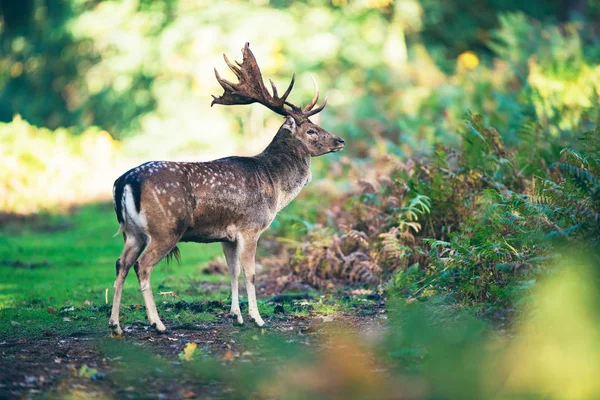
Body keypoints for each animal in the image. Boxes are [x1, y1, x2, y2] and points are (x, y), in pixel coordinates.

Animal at [105, 43, 344, 336]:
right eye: (311, 131)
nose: (340, 141)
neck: (274, 185)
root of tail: (125, 181)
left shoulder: (227, 236)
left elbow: (233, 272)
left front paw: (236, 315)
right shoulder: (251, 227)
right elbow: (251, 273)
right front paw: (257, 318)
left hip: (132, 231)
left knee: (121, 264)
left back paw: (115, 325)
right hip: (165, 228)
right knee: (143, 266)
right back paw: (157, 323)